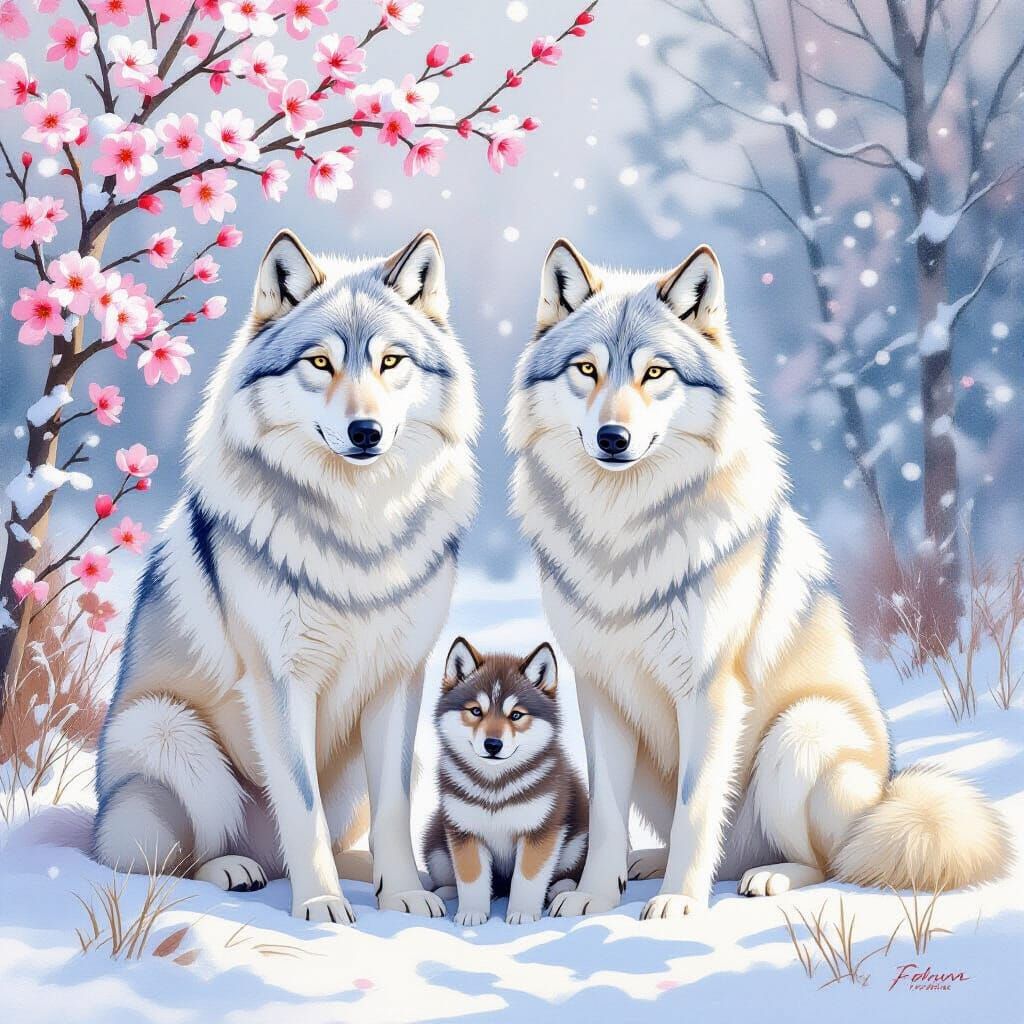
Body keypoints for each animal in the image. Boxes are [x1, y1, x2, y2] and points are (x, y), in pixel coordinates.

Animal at [93, 229, 479, 923]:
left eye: (391, 362)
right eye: (320, 363)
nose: (365, 431)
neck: (359, 528)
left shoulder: (399, 681)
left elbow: (393, 811)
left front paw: (405, 896)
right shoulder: (279, 681)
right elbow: (301, 805)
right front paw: (321, 907)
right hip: (170, 733)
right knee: (178, 860)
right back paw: (235, 871)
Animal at [422, 637, 588, 924]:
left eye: (516, 715)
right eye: (475, 711)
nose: (493, 744)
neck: (495, 786)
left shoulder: (540, 830)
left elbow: (528, 877)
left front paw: (522, 913)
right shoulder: (464, 831)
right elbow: (471, 877)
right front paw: (471, 913)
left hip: (577, 840)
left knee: (566, 873)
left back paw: (561, 889)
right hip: (436, 848)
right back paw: (445, 891)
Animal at [506, 239, 1010, 920]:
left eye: (655, 373)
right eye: (586, 370)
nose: (614, 437)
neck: (622, 533)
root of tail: (886, 795)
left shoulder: (711, 691)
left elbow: (697, 808)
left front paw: (678, 905)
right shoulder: (600, 692)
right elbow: (608, 812)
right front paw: (593, 896)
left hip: (800, 734)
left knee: (830, 862)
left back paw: (766, 877)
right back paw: (649, 865)